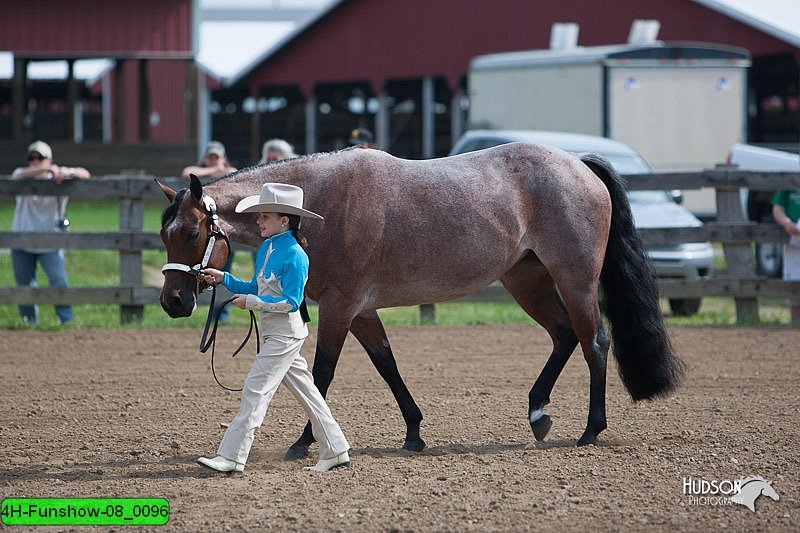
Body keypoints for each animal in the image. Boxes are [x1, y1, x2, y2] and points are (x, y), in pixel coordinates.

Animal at [158, 144, 688, 458]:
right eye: (164, 234)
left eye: (191, 233)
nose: (173, 301)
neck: (320, 205)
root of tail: (579, 164)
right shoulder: (361, 310)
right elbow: (387, 364)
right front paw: (413, 432)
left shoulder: (340, 306)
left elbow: (323, 375)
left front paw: (304, 442)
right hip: (526, 280)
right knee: (563, 337)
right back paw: (538, 413)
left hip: (574, 280)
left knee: (593, 342)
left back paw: (591, 429)